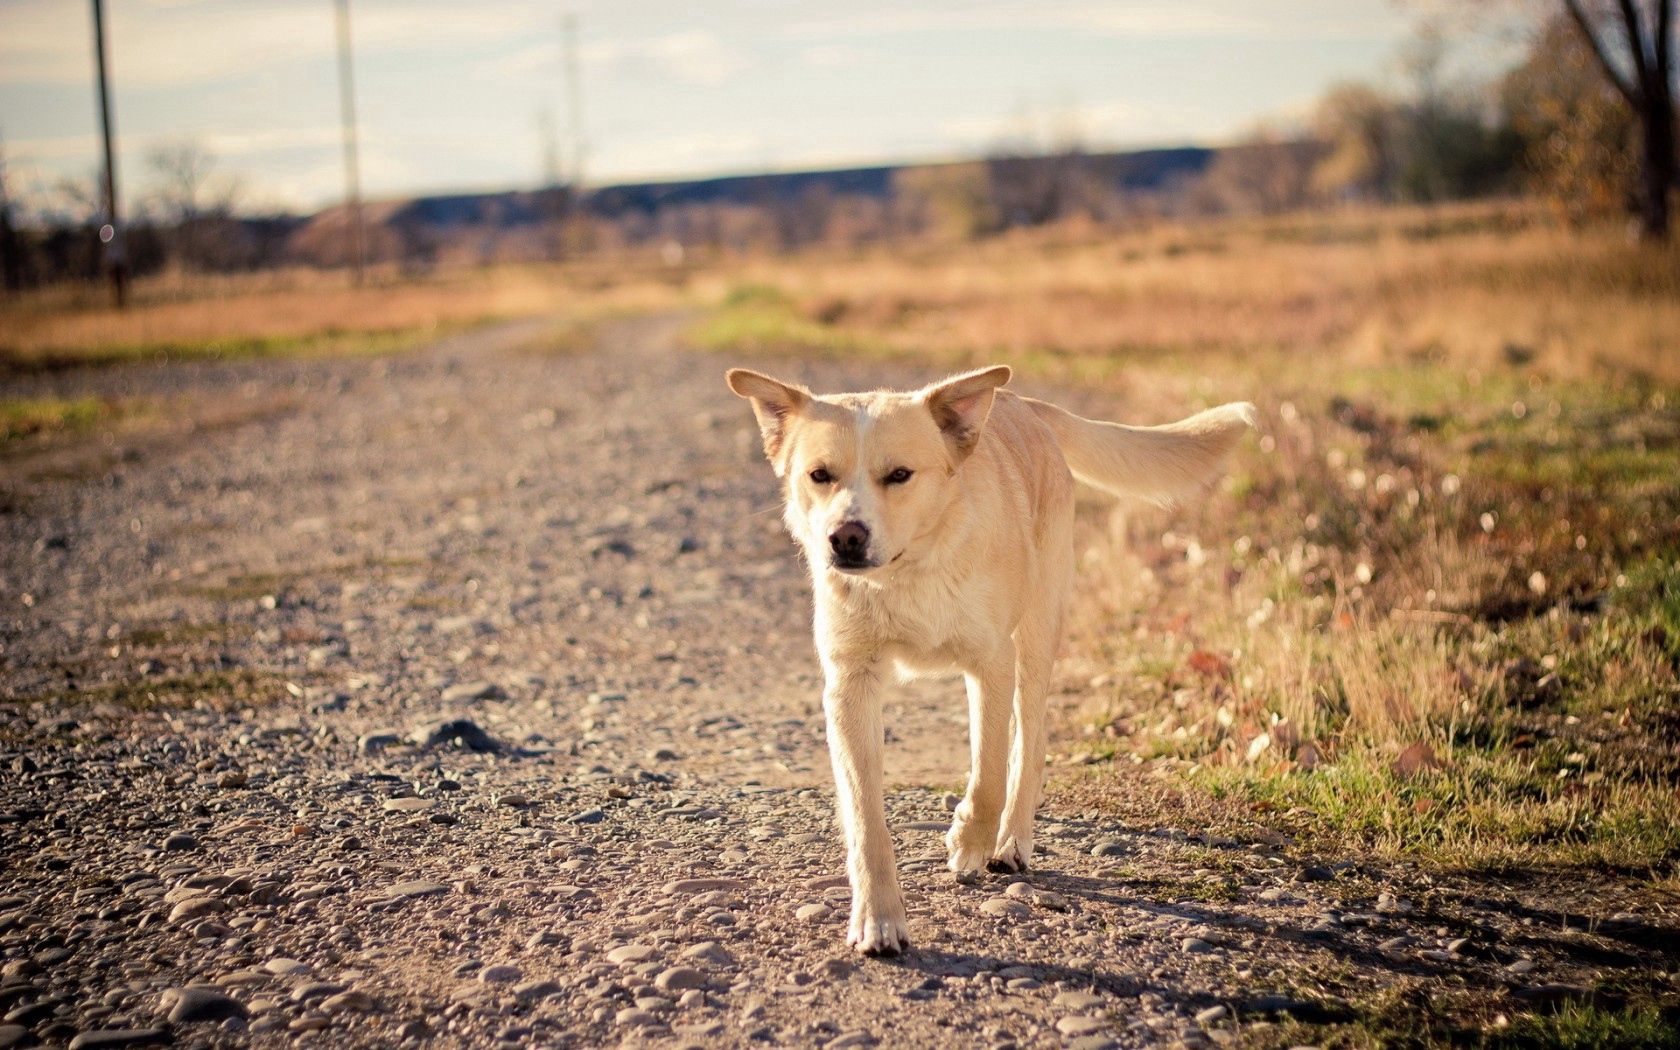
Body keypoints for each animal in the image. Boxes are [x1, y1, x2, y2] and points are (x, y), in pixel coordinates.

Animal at [729, 364, 1256, 954]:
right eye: (820, 475)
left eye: (899, 475)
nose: (845, 538)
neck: (910, 573)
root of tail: (1021, 402)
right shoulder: (850, 685)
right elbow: (866, 818)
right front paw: (879, 918)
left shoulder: (992, 663)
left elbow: (988, 774)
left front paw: (969, 840)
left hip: (1035, 639)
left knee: (1030, 742)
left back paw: (1010, 842)